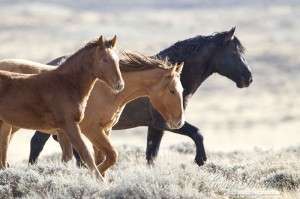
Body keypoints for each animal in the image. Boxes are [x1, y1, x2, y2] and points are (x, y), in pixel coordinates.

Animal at [0, 35, 124, 180]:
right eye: (104, 59)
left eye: (117, 59)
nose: (119, 84)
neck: (67, 84)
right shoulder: (70, 125)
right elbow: (85, 153)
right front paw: (100, 181)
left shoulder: (63, 130)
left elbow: (68, 157)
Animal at [0, 51, 185, 177]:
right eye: (172, 90)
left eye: (182, 90)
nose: (179, 122)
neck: (106, 89)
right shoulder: (91, 129)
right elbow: (110, 157)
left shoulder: (104, 130)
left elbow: (102, 159)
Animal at [28, 27, 253, 166]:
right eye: (235, 53)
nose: (248, 78)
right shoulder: (166, 123)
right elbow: (197, 133)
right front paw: (200, 159)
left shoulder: (155, 127)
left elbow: (151, 154)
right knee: (37, 143)